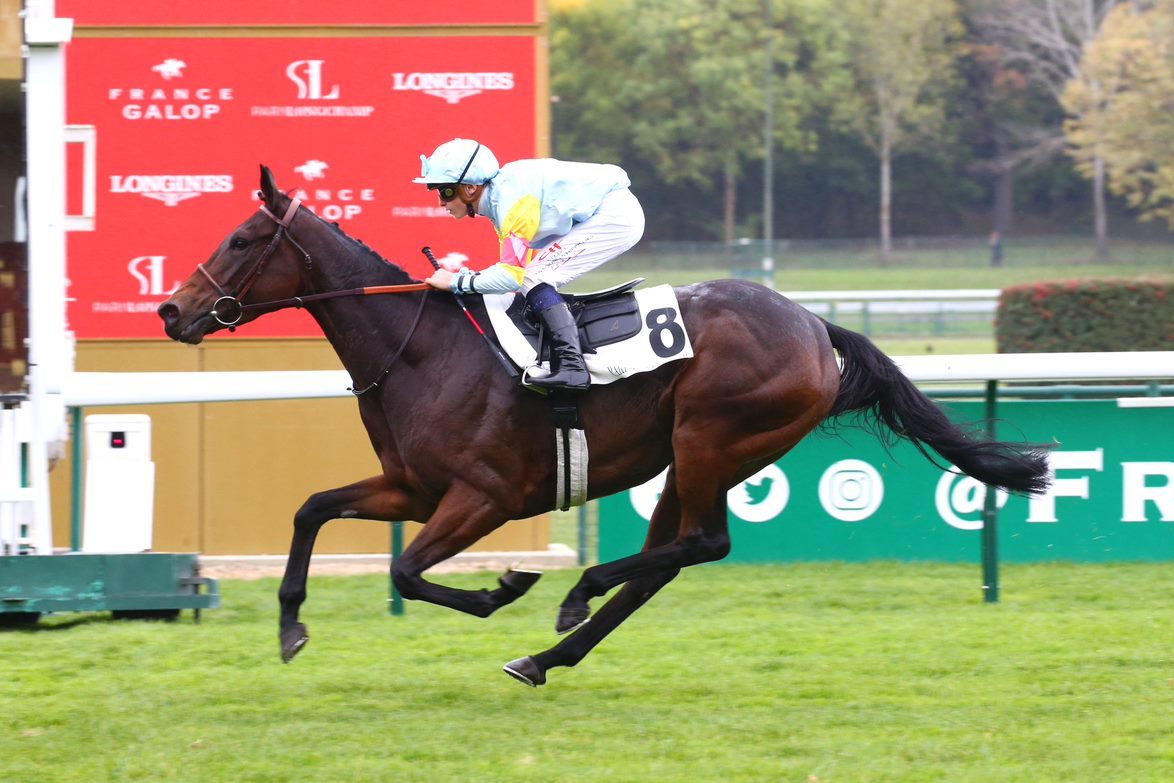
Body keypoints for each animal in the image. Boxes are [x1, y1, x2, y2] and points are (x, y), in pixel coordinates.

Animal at [153, 166, 1047, 685]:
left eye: (241, 238)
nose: (171, 311)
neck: (423, 350)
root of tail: (813, 324)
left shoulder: (483, 496)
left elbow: (406, 571)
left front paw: (505, 586)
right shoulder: (413, 487)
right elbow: (312, 508)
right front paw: (291, 625)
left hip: (710, 438)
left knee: (701, 543)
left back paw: (572, 596)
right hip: (687, 460)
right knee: (664, 563)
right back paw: (546, 655)